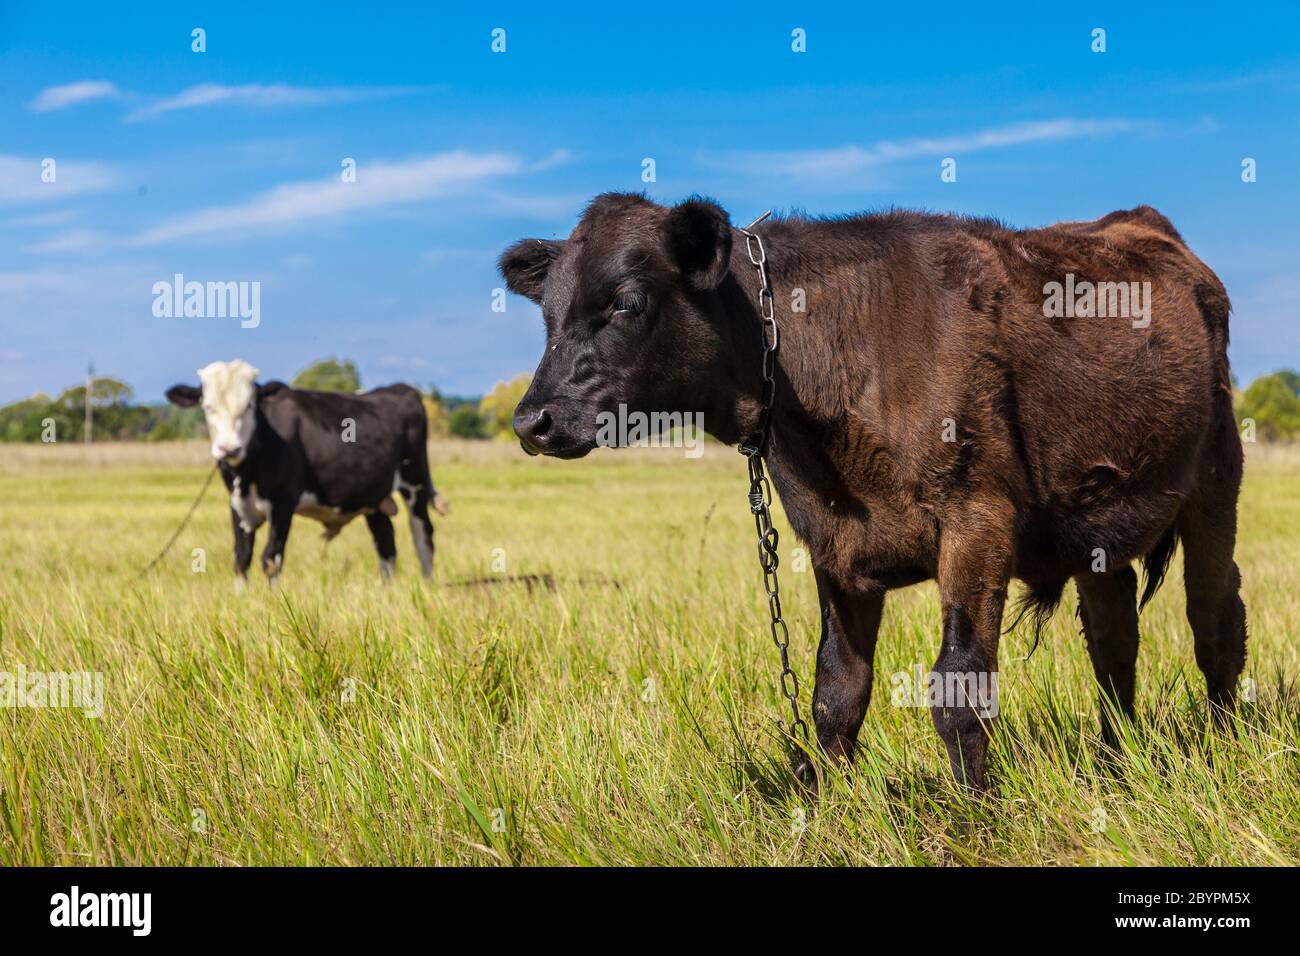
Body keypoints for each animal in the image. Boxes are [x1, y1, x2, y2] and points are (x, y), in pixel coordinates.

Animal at [165, 360, 448, 585]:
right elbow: (241, 559)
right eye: (208, 407)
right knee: (386, 544)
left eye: (249, 406)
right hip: (374, 497)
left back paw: (426, 586)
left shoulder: (283, 503)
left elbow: (271, 558)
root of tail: (399, 388)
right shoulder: (238, 505)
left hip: (415, 482)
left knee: (423, 537)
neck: (247, 473)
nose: (229, 449)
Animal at [499, 193, 1247, 792]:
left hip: (1215, 482)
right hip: (1096, 526)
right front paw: (832, 812)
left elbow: (958, 685)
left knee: (1214, 622)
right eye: (548, 314)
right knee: (1114, 638)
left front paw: (974, 819)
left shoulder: (977, 520)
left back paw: (1224, 751)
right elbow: (837, 692)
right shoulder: (834, 545)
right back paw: (1116, 764)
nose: (532, 420)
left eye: (626, 300)